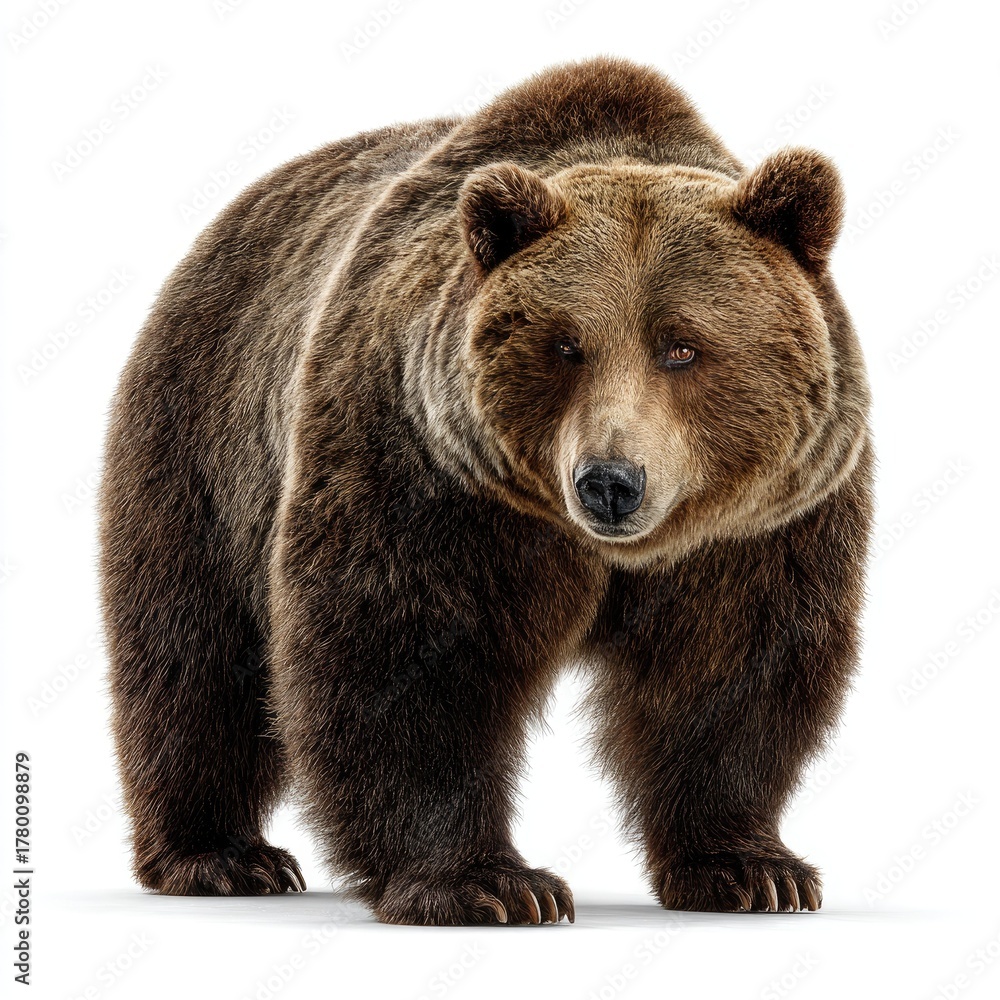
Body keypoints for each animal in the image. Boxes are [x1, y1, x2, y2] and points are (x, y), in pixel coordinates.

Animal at [99, 56, 873, 925]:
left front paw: (753, 869)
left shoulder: (761, 524)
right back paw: (223, 856)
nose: (610, 483)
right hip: (204, 444)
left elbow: (729, 666)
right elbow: (407, 655)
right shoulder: (428, 473)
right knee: (194, 659)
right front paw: (488, 883)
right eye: (567, 345)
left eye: (682, 346)